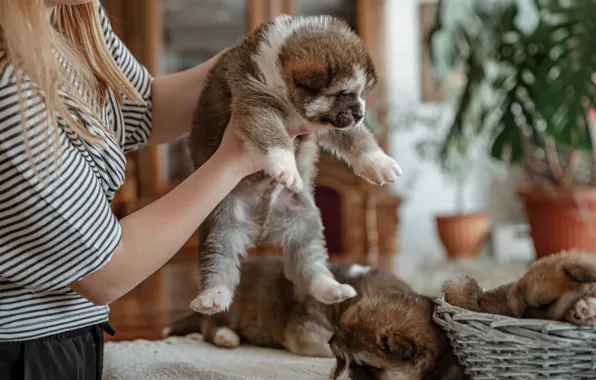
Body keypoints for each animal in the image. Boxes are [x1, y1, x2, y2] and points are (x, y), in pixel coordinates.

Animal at [186, 14, 400, 314]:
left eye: (363, 94)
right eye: (343, 93)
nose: (360, 114)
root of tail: (262, 229)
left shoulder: (328, 123)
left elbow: (356, 138)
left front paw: (380, 163)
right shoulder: (255, 100)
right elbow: (272, 134)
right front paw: (285, 166)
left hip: (305, 221)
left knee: (309, 261)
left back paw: (330, 288)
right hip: (220, 222)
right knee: (218, 257)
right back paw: (212, 296)